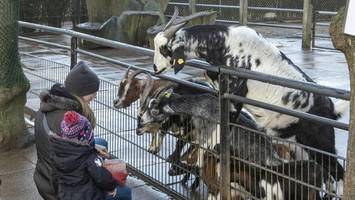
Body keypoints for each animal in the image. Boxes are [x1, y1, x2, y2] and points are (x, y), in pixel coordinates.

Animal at [151, 7, 348, 194]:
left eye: (165, 49)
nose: (155, 68)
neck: (226, 44)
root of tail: (331, 109)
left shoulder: (234, 97)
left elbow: (220, 130)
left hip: (321, 143)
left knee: (338, 174)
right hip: (299, 143)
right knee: (326, 176)